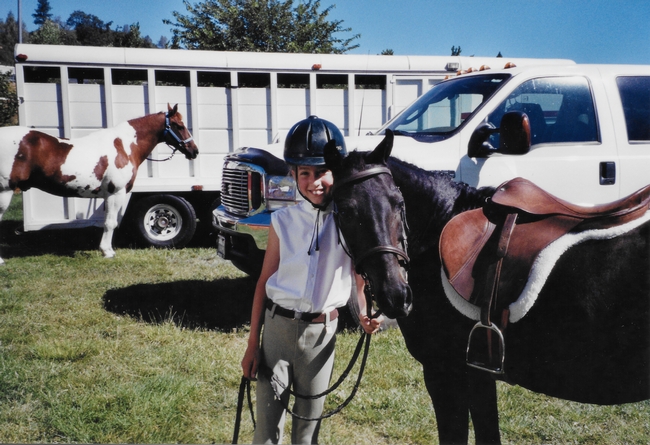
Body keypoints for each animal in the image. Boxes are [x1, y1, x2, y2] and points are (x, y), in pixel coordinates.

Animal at [0, 103, 197, 264]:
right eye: (179, 126)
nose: (194, 150)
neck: (123, 146)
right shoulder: (116, 192)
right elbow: (110, 223)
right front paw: (107, 252)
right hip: (5, 191)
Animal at [324, 132, 648, 444]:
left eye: (398, 204)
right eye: (346, 212)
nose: (396, 295)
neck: (439, 227)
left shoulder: (445, 371)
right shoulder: (478, 372)